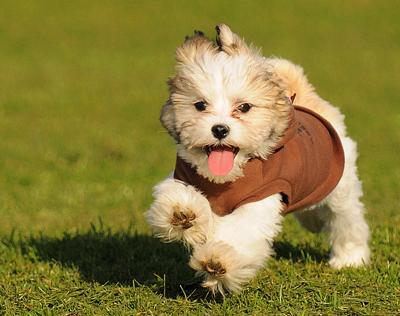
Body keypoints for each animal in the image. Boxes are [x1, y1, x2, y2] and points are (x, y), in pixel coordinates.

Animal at [145, 24, 370, 294]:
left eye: (244, 107)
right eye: (200, 105)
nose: (219, 129)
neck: (228, 177)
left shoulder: (260, 198)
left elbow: (238, 232)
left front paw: (216, 261)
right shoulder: (185, 176)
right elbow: (178, 196)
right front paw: (183, 215)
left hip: (338, 186)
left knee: (346, 220)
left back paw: (350, 258)